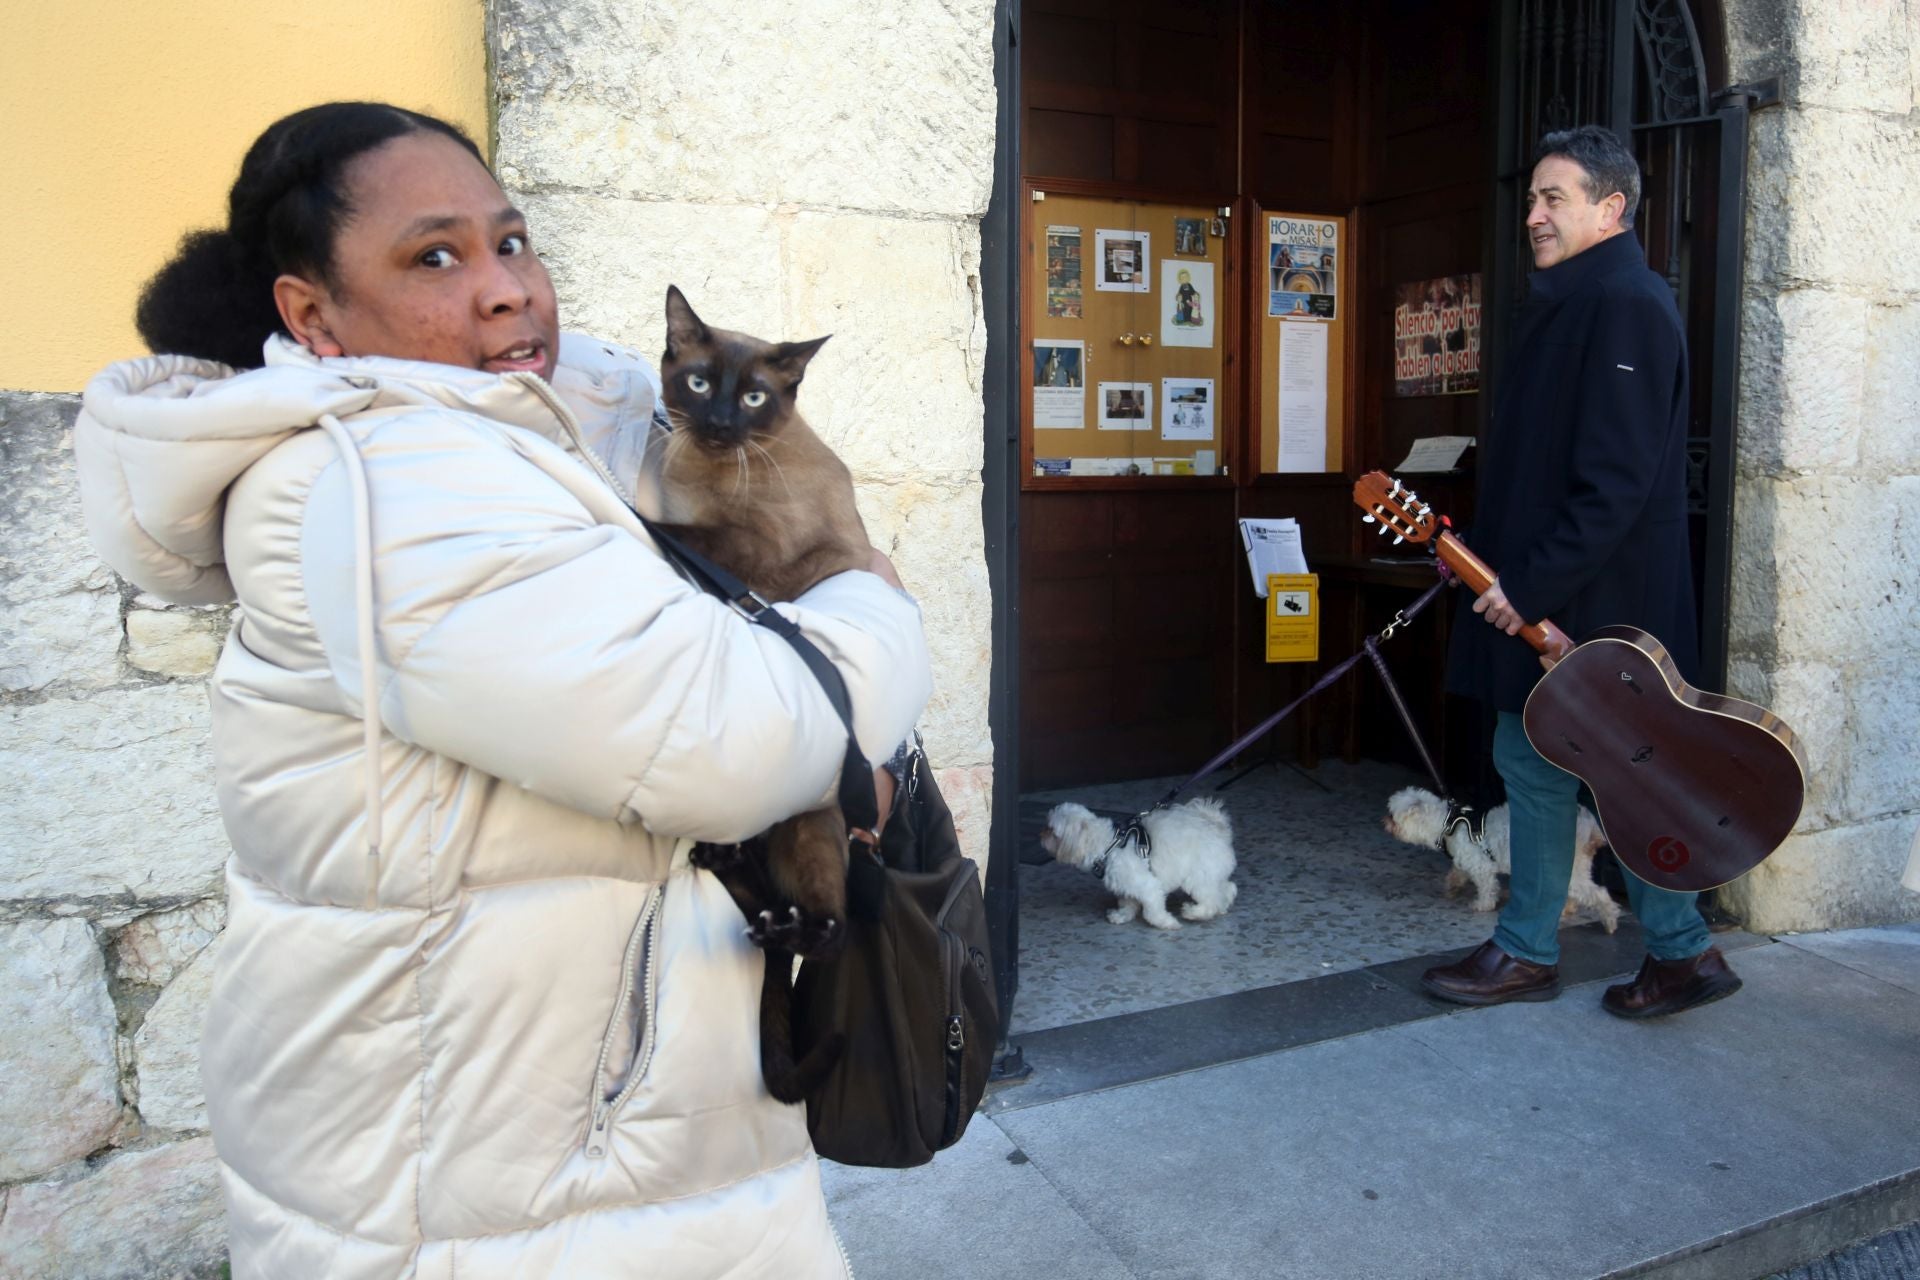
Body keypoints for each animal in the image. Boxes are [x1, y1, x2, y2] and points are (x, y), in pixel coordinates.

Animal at [652, 285, 879, 1105]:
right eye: (698, 383)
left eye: (753, 397)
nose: (720, 422)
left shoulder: (759, 556)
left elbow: (677, 533)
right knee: (752, 896)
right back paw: (733, 875)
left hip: (807, 828)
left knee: (832, 926)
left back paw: (787, 927)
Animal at [1044, 794, 1236, 924]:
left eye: (1051, 831)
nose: (1041, 834)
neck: (1108, 845)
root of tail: (1216, 827)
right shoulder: (1126, 886)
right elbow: (1128, 903)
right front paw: (1121, 915)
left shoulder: (1148, 886)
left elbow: (1152, 910)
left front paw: (1166, 923)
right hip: (1212, 874)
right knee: (1227, 889)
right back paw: (1222, 906)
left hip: (1198, 877)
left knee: (1211, 899)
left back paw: (1194, 912)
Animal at [1382, 786, 1620, 936]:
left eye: (1392, 816)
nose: (1383, 821)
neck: (1450, 823)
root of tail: (1588, 831)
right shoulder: (1464, 860)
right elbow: (1457, 872)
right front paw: (1452, 886)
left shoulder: (1481, 865)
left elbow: (1487, 887)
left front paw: (1482, 905)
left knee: (1599, 894)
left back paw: (1609, 920)